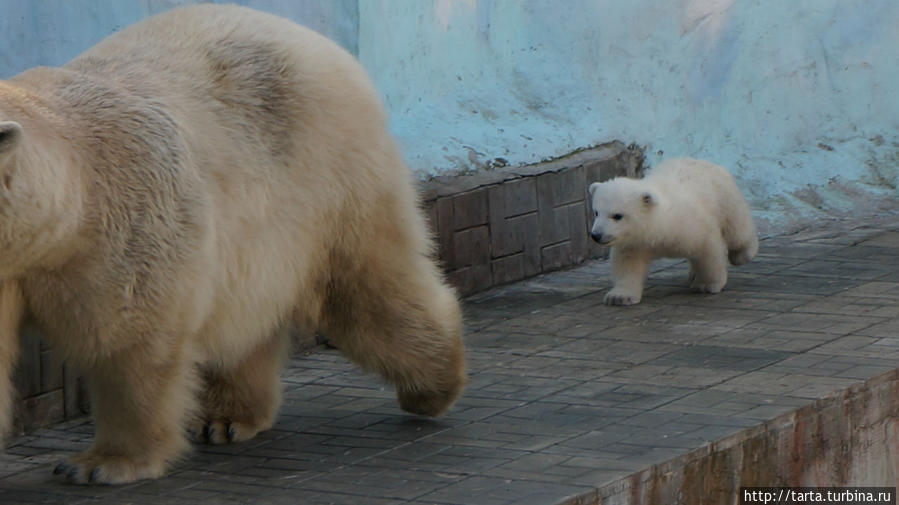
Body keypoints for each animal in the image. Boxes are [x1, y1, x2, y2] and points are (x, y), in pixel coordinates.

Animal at [0, 3, 468, 484]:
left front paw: (101, 465)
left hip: (332, 177)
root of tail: (322, 44)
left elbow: (128, 342)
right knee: (245, 321)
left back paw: (434, 387)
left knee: (369, 288)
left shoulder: (125, 225)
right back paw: (226, 418)